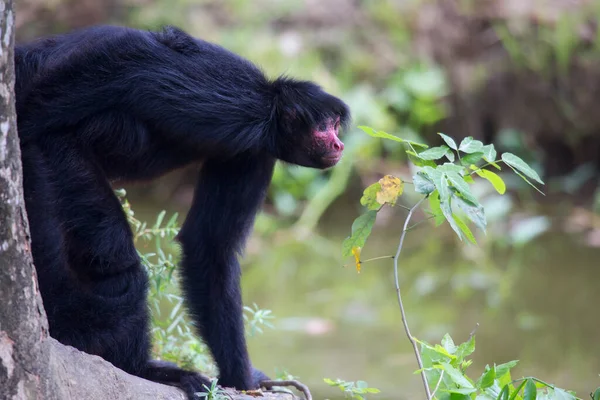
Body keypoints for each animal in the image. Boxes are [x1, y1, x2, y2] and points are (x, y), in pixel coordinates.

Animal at [14, 26, 350, 398]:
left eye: (337, 125)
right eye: (324, 127)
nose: (339, 144)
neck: (270, 104)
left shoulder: (251, 152)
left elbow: (209, 246)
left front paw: (242, 379)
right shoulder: (240, 104)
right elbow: (130, 54)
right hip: (56, 153)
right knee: (113, 258)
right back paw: (139, 367)